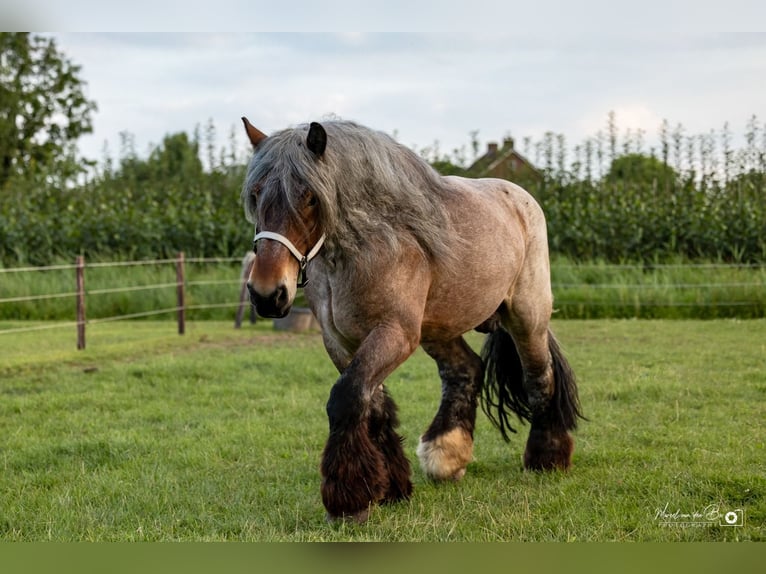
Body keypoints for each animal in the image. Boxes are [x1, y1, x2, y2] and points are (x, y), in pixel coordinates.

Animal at [240, 118, 584, 528]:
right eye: (256, 194)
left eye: (309, 197)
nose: (266, 294)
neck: (366, 248)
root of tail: (520, 199)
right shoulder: (341, 341)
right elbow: (373, 406)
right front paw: (391, 488)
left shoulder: (395, 334)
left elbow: (347, 397)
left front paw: (349, 500)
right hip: (438, 328)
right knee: (464, 370)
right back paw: (446, 455)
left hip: (527, 317)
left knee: (539, 377)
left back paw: (547, 457)